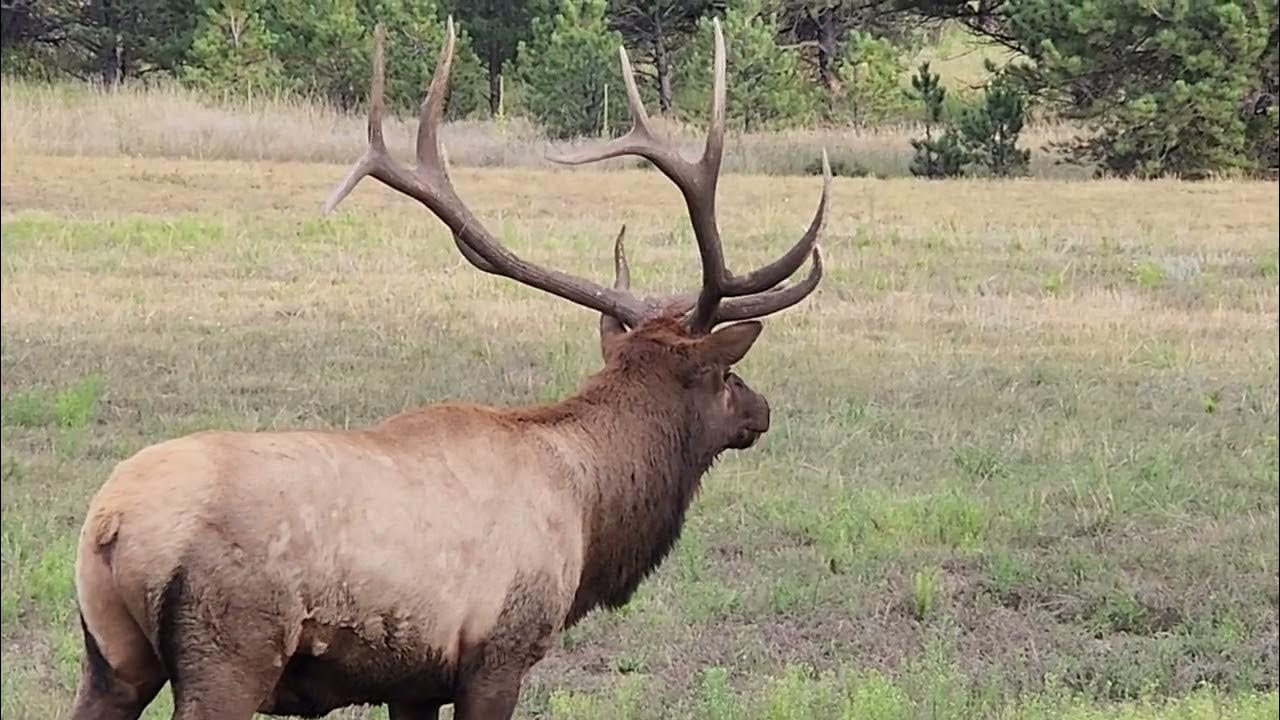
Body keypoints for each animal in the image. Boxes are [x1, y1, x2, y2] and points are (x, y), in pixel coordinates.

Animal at [70, 15, 830, 720]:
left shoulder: (414, 680)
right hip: (231, 648)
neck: (591, 511)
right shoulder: (499, 653)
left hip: (111, 658)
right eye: (726, 376)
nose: (763, 410)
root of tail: (111, 525)